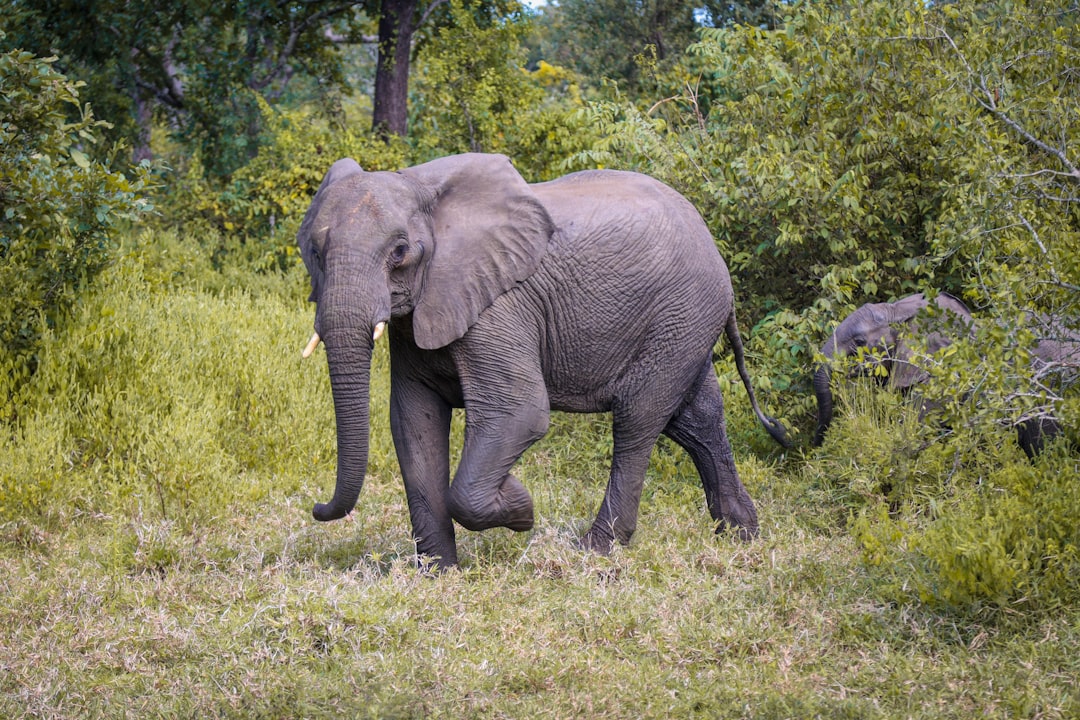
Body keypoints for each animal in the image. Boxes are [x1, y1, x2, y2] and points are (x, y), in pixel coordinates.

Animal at [297, 152, 790, 568]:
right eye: (315, 253)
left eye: (399, 252)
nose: (318, 507)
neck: (420, 185)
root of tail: (714, 249)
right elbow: (413, 421)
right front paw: (439, 574)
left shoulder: (499, 308)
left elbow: (519, 412)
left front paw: (521, 507)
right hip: (686, 325)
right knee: (695, 419)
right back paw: (740, 537)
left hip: (681, 314)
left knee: (639, 418)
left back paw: (595, 552)